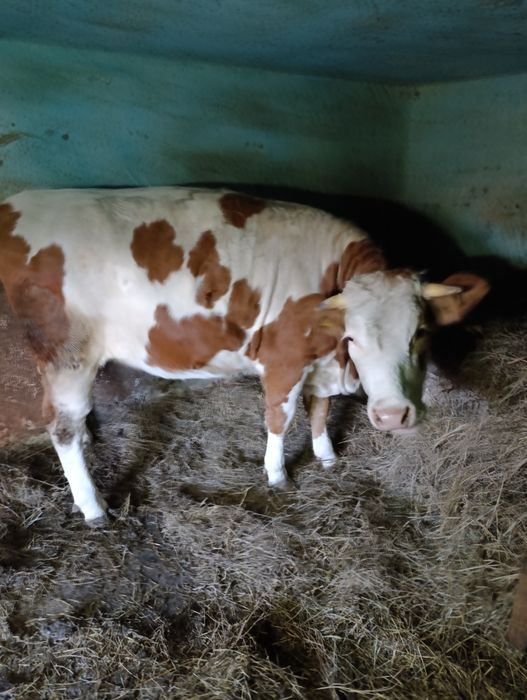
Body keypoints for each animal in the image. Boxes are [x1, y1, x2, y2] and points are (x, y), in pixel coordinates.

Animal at [0, 187, 489, 524]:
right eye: (354, 338)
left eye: (421, 332)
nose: (391, 416)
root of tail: (20, 203)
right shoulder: (285, 357)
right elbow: (281, 417)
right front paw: (277, 475)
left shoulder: (320, 363)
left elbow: (321, 407)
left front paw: (327, 456)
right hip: (67, 352)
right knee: (61, 424)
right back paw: (93, 506)